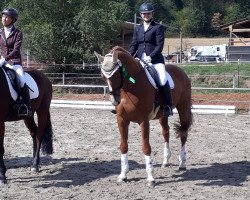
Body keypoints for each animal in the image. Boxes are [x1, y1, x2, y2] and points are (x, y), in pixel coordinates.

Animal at [94, 47, 192, 188]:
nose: (115, 101)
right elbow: (123, 145)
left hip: (183, 107)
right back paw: (166, 161)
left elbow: (146, 147)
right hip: (163, 115)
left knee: (183, 133)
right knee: (166, 132)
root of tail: (181, 71)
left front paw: (151, 178)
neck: (131, 87)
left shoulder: (144, 121)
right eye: (102, 76)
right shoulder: (122, 120)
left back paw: (182, 163)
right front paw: (123, 175)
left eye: (116, 75)